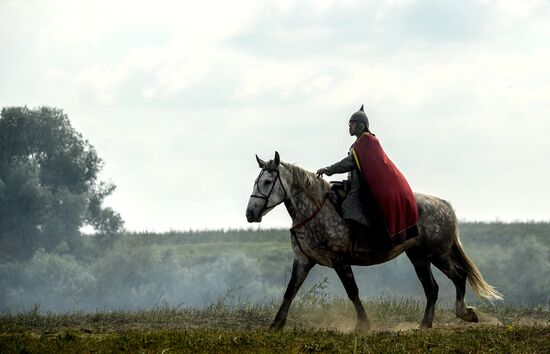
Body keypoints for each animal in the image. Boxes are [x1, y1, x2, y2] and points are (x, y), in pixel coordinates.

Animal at [246, 151, 504, 332]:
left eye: (267, 182)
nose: (250, 214)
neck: (315, 210)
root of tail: (444, 205)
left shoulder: (340, 260)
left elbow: (353, 292)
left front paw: (363, 325)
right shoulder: (303, 260)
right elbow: (290, 292)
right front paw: (276, 325)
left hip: (437, 254)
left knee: (458, 277)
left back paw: (464, 313)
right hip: (419, 257)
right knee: (432, 288)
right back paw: (425, 324)